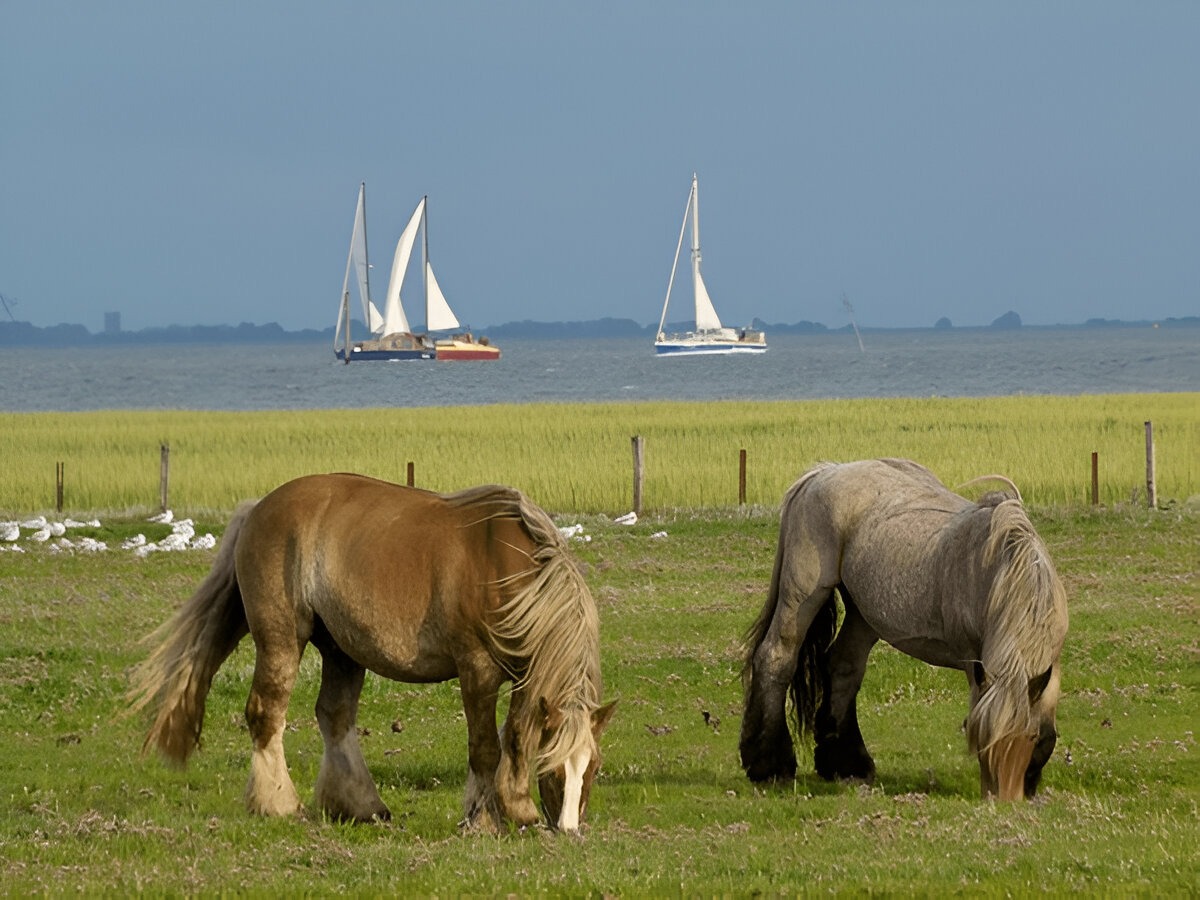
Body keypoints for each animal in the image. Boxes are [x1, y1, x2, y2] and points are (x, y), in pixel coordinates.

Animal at [130, 475, 614, 835]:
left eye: (591, 768)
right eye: (554, 770)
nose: (569, 830)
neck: (510, 573)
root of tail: (259, 508)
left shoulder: (526, 676)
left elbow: (515, 738)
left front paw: (517, 809)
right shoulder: (477, 670)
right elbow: (485, 748)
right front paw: (482, 820)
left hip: (341, 650)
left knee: (334, 716)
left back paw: (361, 805)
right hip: (282, 639)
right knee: (266, 713)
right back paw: (279, 803)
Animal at [739, 460, 1070, 801]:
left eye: (1028, 738)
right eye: (981, 744)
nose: (1001, 800)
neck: (1005, 576)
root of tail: (824, 471)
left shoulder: (1050, 666)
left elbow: (1049, 728)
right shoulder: (974, 662)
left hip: (863, 614)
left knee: (843, 668)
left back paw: (847, 766)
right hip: (803, 595)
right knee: (776, 657)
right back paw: (770, 766)